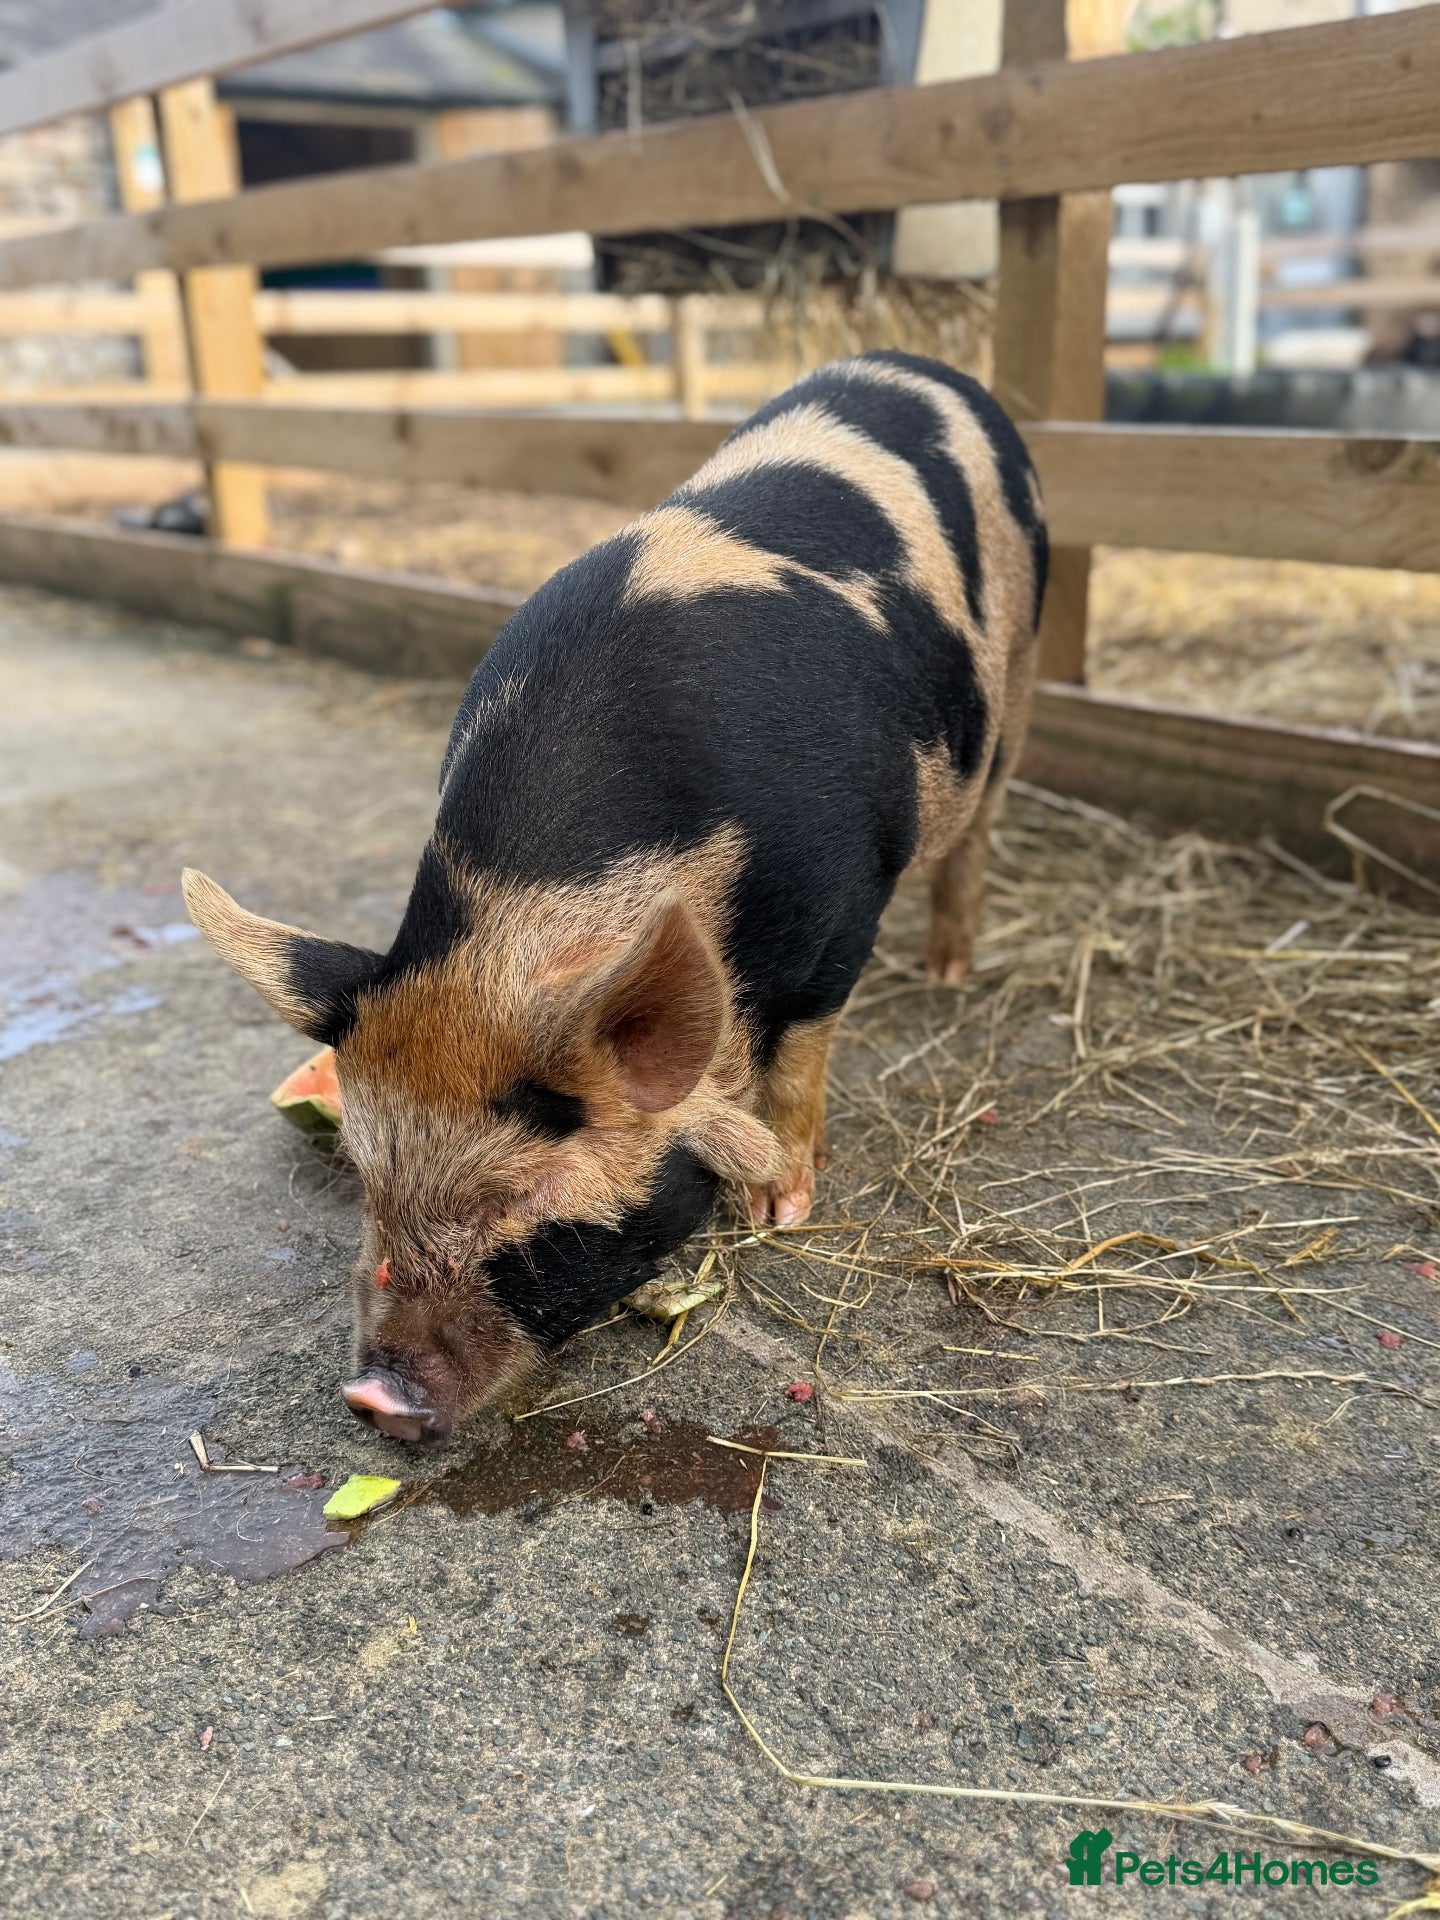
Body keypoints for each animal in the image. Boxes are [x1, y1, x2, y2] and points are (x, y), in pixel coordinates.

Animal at [183, 350, 1047, 1445]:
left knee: (980, 822)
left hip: (1014, 673)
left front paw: (782, 1208)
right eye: (371, 1179)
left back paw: (947, 971)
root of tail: (917, 364)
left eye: (527, 1203)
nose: (372, 1397)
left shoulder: (846, 902)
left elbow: (801, 1056)